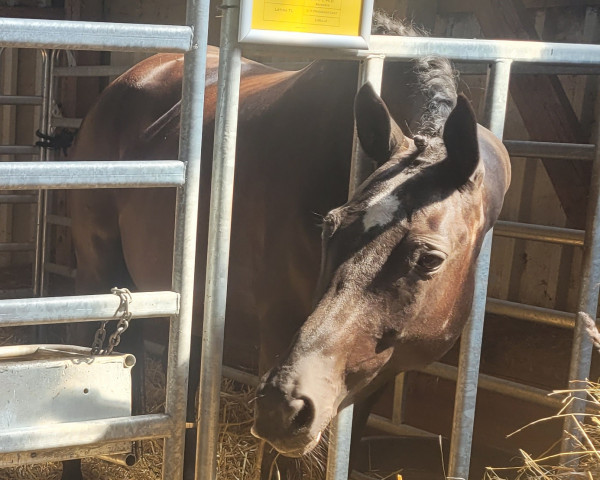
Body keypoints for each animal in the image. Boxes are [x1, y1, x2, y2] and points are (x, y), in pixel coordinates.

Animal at [63, 13, 508, 478]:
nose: (285, 406)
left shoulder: (372, 376)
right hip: (98, 269)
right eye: (329, 228)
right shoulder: (279, 340)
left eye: (430, 259)